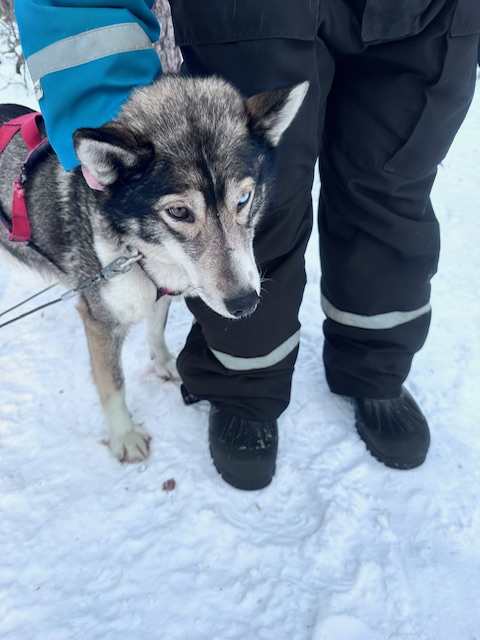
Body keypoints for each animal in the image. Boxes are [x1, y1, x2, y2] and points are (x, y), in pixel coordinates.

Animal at [0, 76, 308, 460]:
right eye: (178, 212)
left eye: (243, 198)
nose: (245, 303)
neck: (140, 250)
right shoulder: (100, 322)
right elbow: (113, 384)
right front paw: (125, 435)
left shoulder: (162, 292)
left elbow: (155, 328)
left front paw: (163, 362)